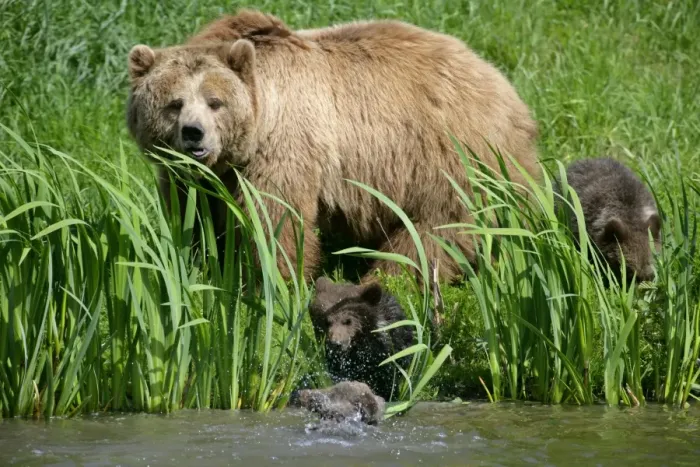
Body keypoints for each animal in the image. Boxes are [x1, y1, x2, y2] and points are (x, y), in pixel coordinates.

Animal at [126, 9, 541, 283]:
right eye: (174, 103)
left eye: (215, 102)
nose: (194, 133)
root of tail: (504, 85)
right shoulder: (196, 178)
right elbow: (193, 217)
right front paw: (192, 264)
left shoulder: (286, 144)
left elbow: (278, 218)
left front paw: (275, 282)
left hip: (449, 155)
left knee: (436, 232)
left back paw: (389, 280)